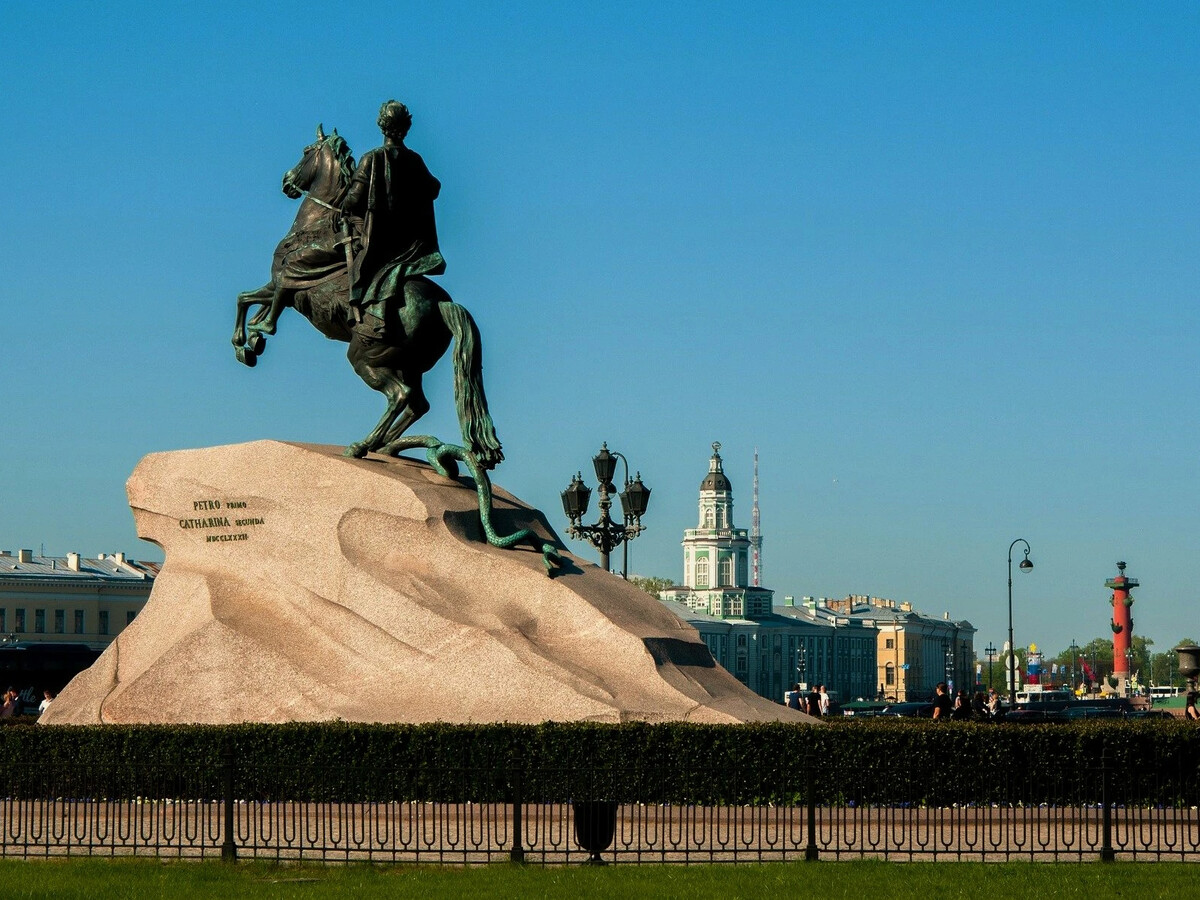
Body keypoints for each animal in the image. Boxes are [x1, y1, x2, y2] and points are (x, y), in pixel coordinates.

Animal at [231, 127, 504, 472]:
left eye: (306, 151)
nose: (286, 181)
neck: (317, 224)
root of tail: (443, 305)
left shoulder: (289, 277)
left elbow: (249, 300)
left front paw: (247, 342)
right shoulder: (281, 286)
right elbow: (253, 303)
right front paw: (254, 342)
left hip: (367, 357)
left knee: (399, 396)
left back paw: (363, 445)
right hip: (408, 363)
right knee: (417, 403)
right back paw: (384, 446)